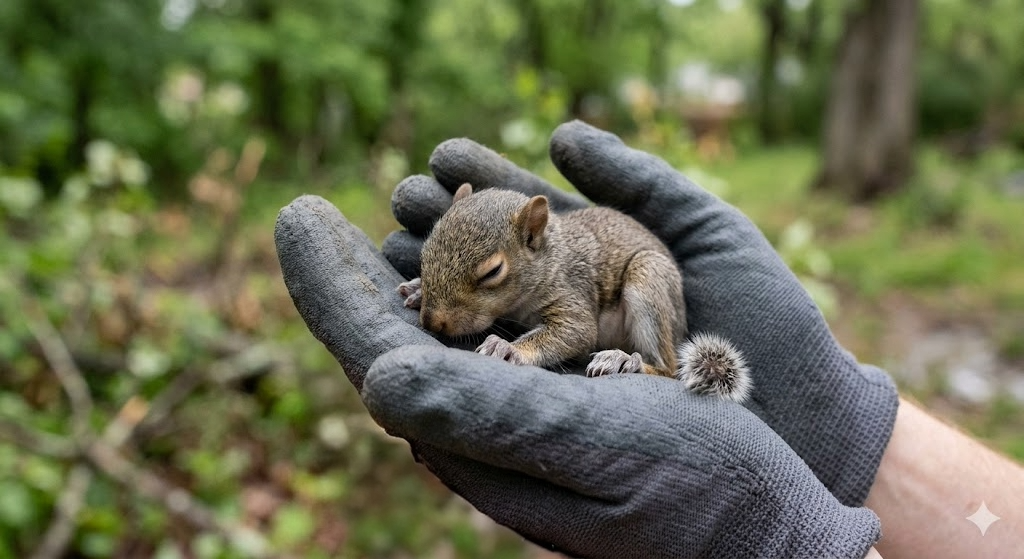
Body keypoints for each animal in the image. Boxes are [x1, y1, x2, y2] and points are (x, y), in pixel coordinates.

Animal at [397, 183, 751, 402]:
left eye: (492, 272)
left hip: (649, 278)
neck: (551, 258)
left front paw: (508, 349)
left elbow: (575, 332)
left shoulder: (572, 292)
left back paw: (625, 361)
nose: (434, 322)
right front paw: (417, 289)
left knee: (666, 368)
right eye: (426, 251)